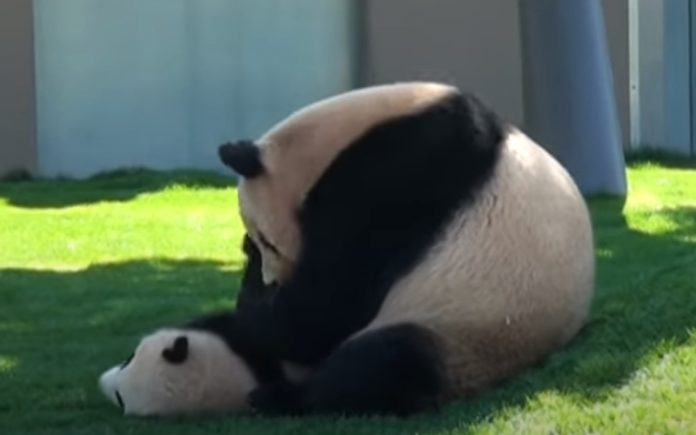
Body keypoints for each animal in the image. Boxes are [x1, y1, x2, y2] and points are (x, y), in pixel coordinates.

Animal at [218, 82, 595, 416]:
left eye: (269, 241)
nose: (273, 280)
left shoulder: (395, 180)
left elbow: (325, 309)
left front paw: (256, 302)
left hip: (465, 332)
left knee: (390, 362)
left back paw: (277, 397)